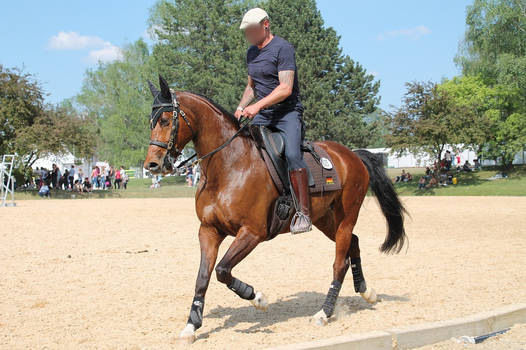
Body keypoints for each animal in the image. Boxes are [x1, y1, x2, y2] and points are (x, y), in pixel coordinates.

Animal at [143, 76, 408, 342]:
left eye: (165, 120)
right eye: (151, 121)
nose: (152, 165)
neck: (229, 166)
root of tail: (351, 155)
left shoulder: (252, 232)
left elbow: (222, 270)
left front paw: (257, 298)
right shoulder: (208, 230)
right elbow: (203, 277)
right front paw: (191, 325)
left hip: (346, 217)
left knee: (339, 263)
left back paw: (324, 312)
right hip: (325, 219)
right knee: (353, 242)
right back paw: (366, 291)